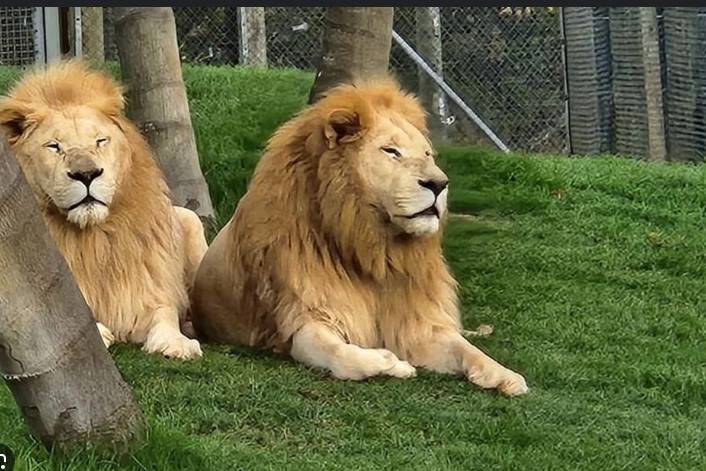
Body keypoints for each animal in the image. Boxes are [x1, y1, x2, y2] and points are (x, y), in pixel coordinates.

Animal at [0, 61, 207, 360]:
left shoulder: (148, 288)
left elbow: (164, 313)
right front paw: (101, 333)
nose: (86, 174)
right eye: (54, 146)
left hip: (190, 220)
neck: (96, 239)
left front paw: (176, 343)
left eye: (100, 141)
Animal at [191, 79, 528, 395]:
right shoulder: (305, 318)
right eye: (391, 151)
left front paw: (506, 375)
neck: (374, 248)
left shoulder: (416, 323)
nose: (439, 184)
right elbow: (342, 354)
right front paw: (393, 363)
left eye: (427, 154)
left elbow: (464, 348)